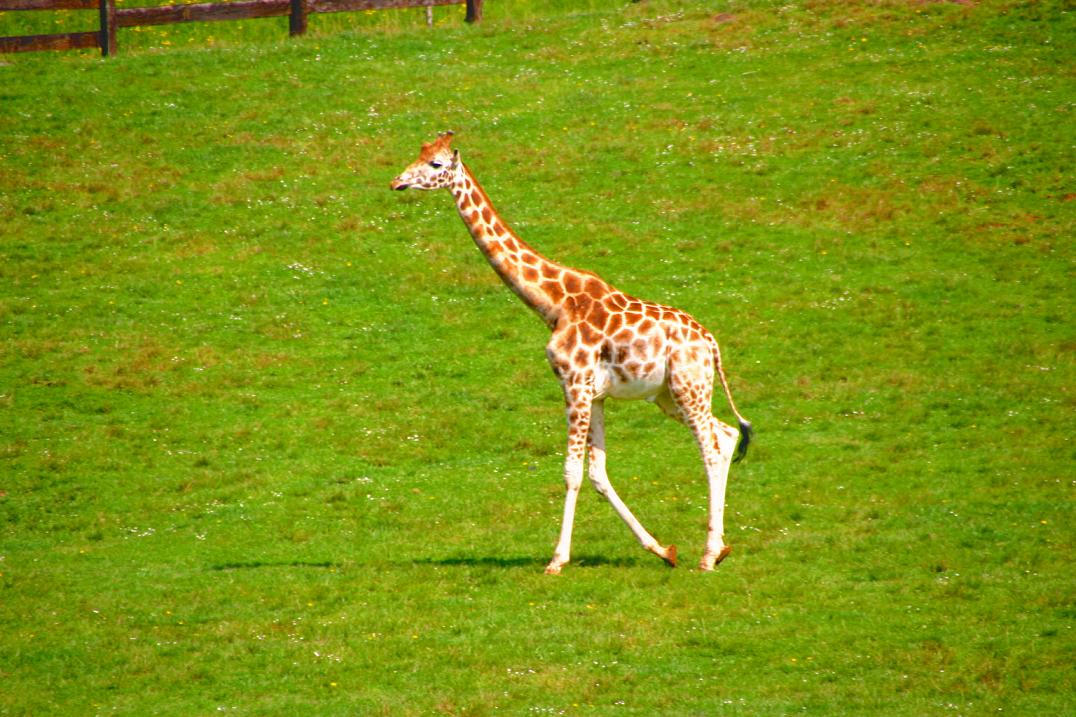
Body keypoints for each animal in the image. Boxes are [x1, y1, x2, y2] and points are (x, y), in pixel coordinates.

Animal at [391, 131, 753, 572]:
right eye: (419, 153)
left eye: (436, 164)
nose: (397, 182)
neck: (554, 304)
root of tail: (711, 343)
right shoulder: (593, 393)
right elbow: (597, 473)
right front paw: (660, 549)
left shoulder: (574, 384)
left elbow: (571, 472)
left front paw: (556, 560)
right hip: (669, 394)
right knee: (727, 433)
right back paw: (721, 548)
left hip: (688, 385)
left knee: (711, 448)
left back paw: (708, 555)